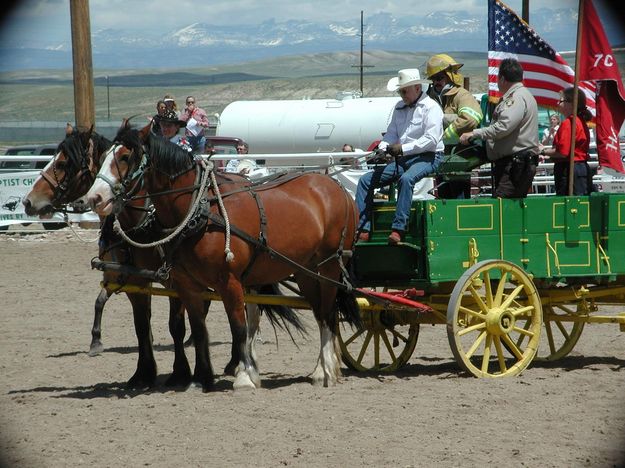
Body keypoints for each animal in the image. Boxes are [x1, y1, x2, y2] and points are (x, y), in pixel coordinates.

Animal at [25, 123, 304, 388]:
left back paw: (239, 363)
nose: (28, 201)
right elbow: (139, 324)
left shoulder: (173, 281)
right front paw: (143, 373)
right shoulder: (134, 280)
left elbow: (176, 326)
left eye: (63, 163)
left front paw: (180, 373)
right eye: (103, 159)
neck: (143, 222)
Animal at [88, 121, 360, 392]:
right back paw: (321, 368)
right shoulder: (186, 285)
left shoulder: (228, 280)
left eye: (125, 157)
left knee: (328, 313)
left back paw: (325, 371)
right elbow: (198, 329)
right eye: (101, 158)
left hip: (328, 267)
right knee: (321, 312)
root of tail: (337, 188)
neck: (200, 211)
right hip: (306, 271)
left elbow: (238, 327)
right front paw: (200, 378)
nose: (94, 198)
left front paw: (245, 376)